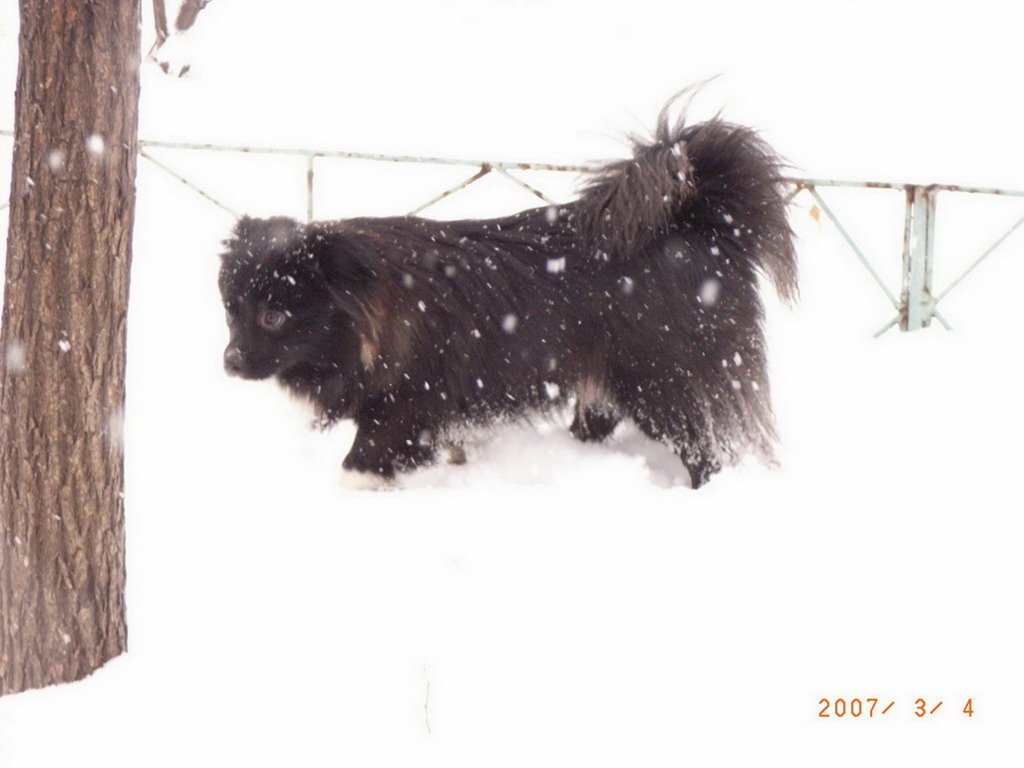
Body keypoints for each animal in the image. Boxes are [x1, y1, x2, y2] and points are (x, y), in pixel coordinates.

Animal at [220, 100, 798, 487]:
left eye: (273, 316)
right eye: (231, 310)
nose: (229, 362)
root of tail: (704, 222)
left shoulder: (404, 410)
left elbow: (362, 462)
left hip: (660, 381)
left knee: (705, 450)